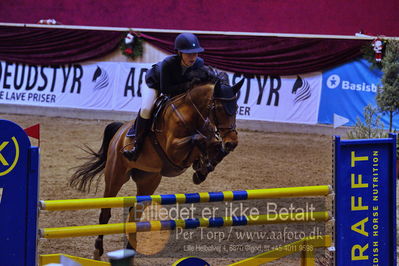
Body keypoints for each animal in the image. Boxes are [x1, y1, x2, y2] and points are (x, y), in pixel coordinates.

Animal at [69, 68, 244, 260]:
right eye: (219, 108)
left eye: (236, 108)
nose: (232, 142)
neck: (192, 114)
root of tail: (120, 132)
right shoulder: (173, 150)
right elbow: (199, 139)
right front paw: (203, 164)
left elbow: (212, 144)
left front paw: (203, 168)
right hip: (115, 176)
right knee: (105, 213)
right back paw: (98, 250)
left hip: (148, 181)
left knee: (135, 215)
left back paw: (130, 249)